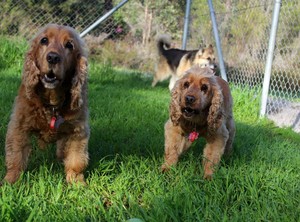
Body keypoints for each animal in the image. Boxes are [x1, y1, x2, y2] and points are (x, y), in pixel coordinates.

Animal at [2, 23, 89, 184]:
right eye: (44, 40)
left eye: (69, 45)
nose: (53, 57)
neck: (52, 102)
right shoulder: (18, 127)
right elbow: (16, 157)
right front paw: (9, 181)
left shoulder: (78, 131)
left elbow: (76, 160)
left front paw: (77, 183)